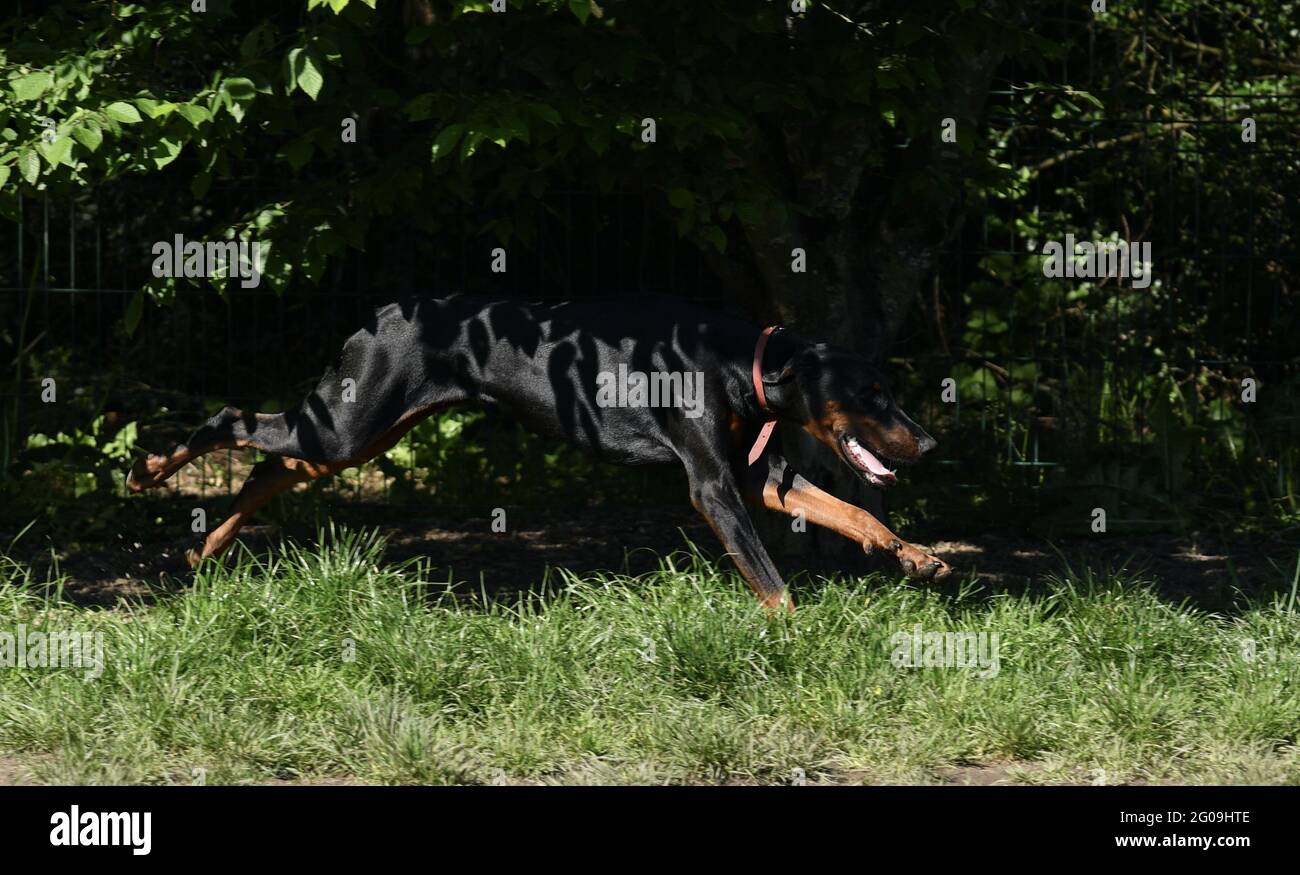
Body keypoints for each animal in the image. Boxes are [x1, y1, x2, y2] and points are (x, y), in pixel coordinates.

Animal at [126, 293, 951, 608]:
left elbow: (853, 512)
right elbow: (773, 581)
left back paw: (207, 547)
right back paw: (150, 469)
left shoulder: (759, 480)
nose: (928, 439)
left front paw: (916, 553)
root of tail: (380, 315)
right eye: (872, 393)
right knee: (231, 419)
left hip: (357, 433)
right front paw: (795, 629)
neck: (741, 365)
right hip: (346, 426)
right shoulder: (714, 487)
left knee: (271, 466)